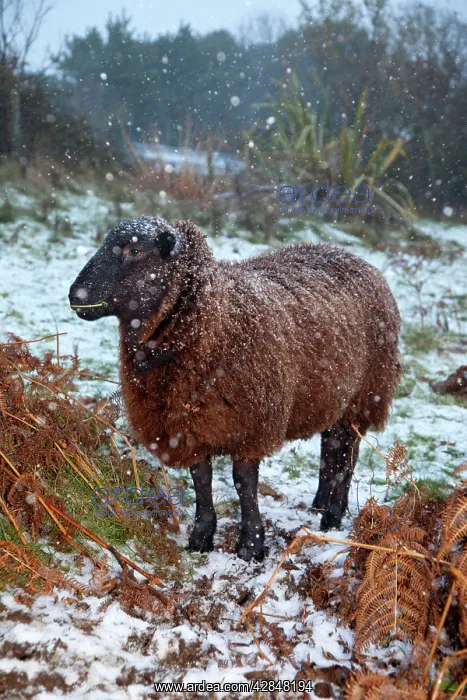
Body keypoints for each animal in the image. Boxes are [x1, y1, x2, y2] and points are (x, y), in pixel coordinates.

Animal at [69, 216, 402, 562]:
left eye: (135, 250)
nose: (75, 295)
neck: (216, 323)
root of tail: (357, 258)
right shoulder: (186, 425)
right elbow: (201, 477)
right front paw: (201, 537)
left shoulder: (253, 422)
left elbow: (244, 482)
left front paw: (251, 545)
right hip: (333, 396)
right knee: (331, 446)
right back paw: (321, 504)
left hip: (365, 395)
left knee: (347, 455)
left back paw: (333, 517)